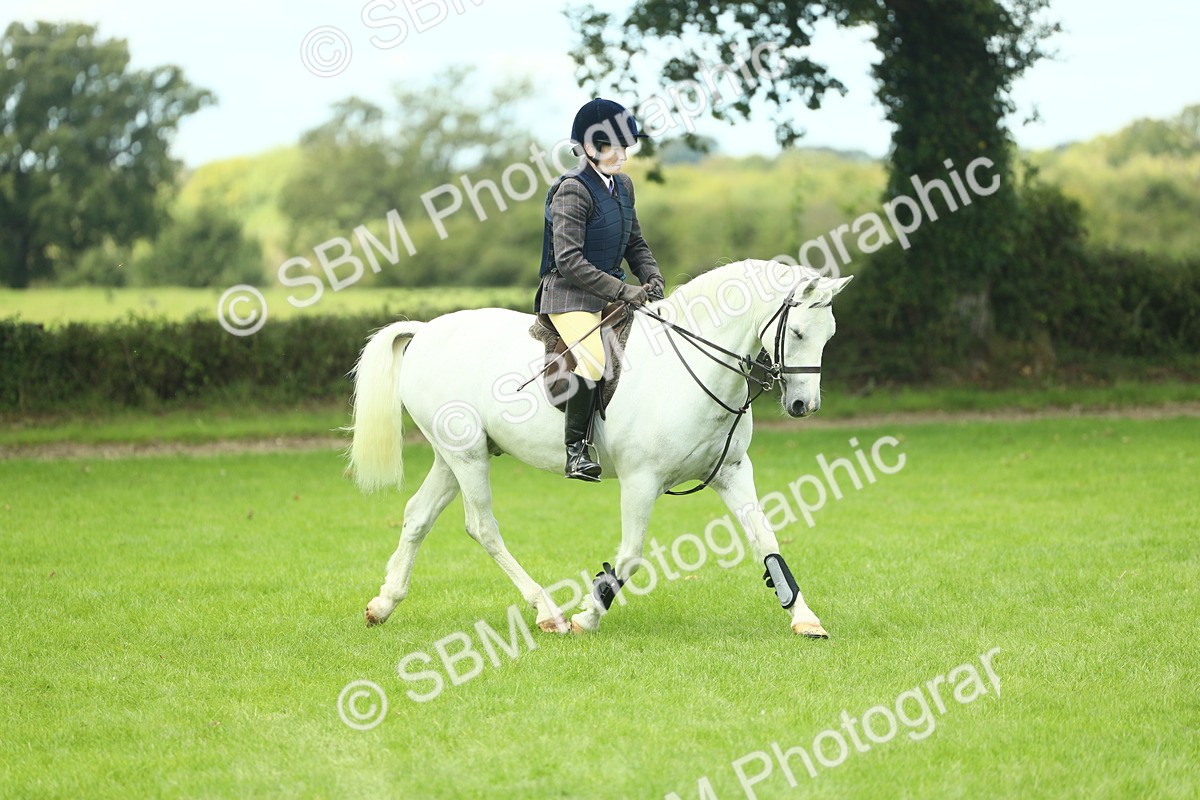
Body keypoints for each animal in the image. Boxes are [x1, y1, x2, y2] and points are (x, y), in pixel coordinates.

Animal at [349, 259, 852, 637]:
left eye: (829, 335)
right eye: (799, 333)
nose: (804, 405)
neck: (690, 369)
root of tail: (425, 331)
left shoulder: (731, 472)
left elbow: (765, 539)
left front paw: (805, 618)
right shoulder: (641, 480)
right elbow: (630, 555)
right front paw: (588, 615)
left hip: (452, 457)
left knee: (418, 515)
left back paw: (384, 603)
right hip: (467, 456)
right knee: (482, 527)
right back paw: (548, 611)